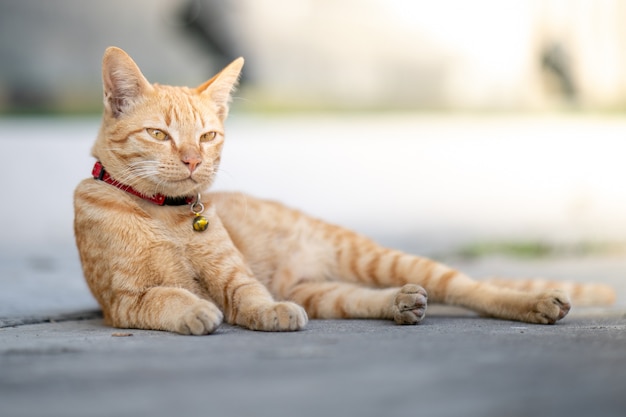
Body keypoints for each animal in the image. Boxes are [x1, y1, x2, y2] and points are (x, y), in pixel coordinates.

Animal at [74, 47, 616, 334]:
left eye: (208, 137)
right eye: (159, 134)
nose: (193, 160)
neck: (166, 214)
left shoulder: (236, 276)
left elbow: (248, 294)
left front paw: (266, 311)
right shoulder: (121, 303)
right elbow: (163, 296)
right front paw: (193, 308)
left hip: (374, 257)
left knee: (469, 288)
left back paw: (537, 303)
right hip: (322, 291)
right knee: (359, 298)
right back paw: (400, 303)